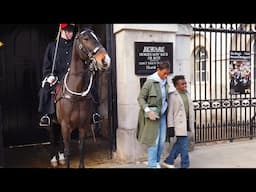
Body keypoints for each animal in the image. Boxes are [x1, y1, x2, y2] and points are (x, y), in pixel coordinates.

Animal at [54, 28, 110, 168]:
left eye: (98, 38)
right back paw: (55, 159)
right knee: (54, 141)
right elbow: (67, 151)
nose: (105, 60)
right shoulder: (65, 126)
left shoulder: (83, 125)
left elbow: (81, 148)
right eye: (86, 38)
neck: (76, 93)